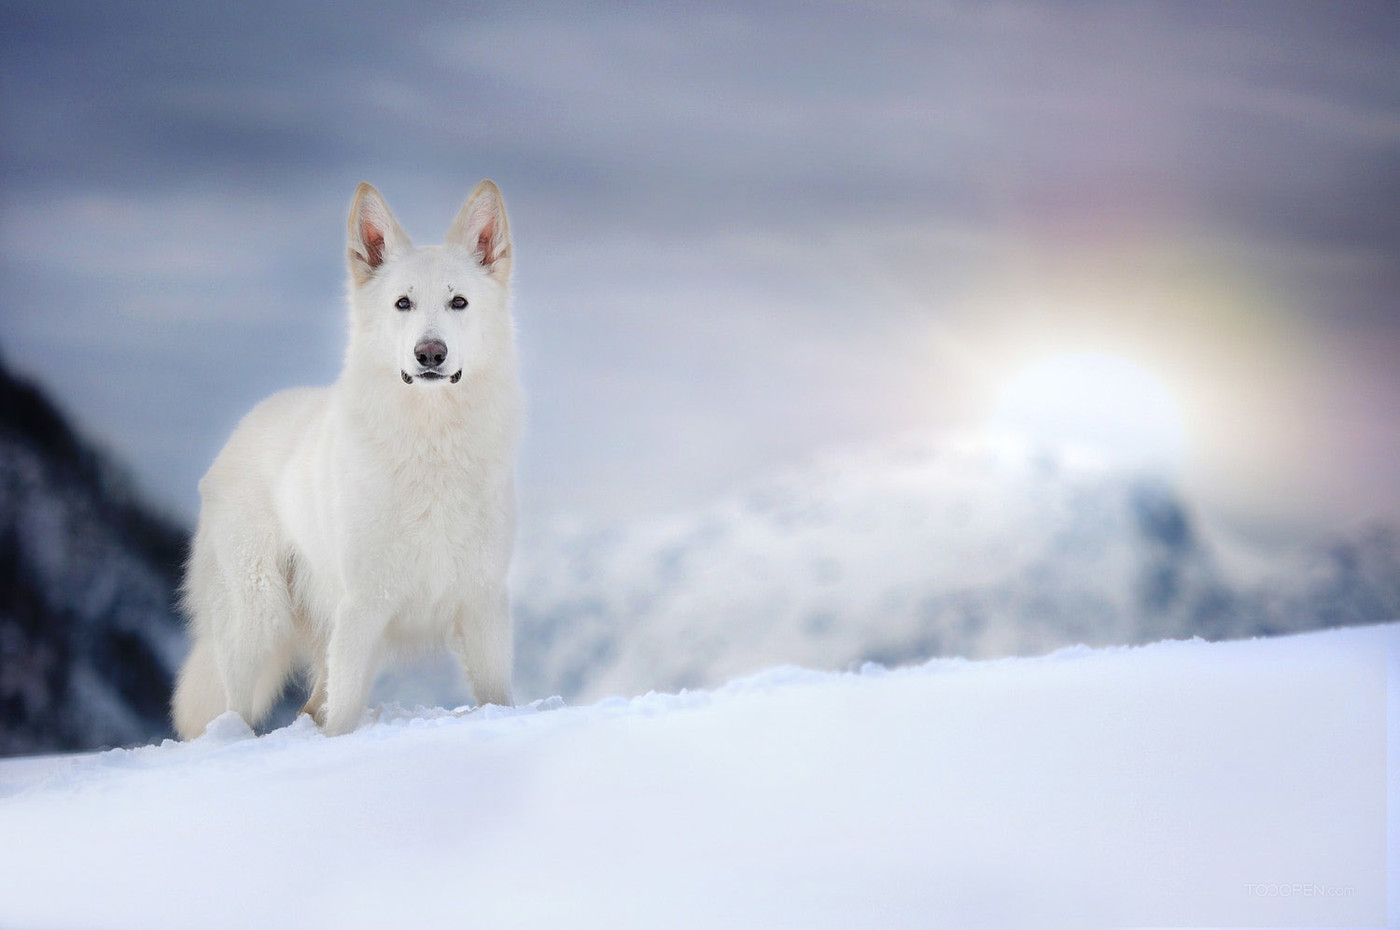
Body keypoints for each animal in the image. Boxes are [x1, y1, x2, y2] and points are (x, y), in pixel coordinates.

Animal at [172, 177, 523, 739]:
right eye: (402, 303)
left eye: (459, 302)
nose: (430, 354)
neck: (431, 443)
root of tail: (245, 424)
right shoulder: (363, 604)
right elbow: (343, 722)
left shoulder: (483, 600)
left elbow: (497, 698)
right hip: (256, 619)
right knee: (237, 703)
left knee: (311, 702)